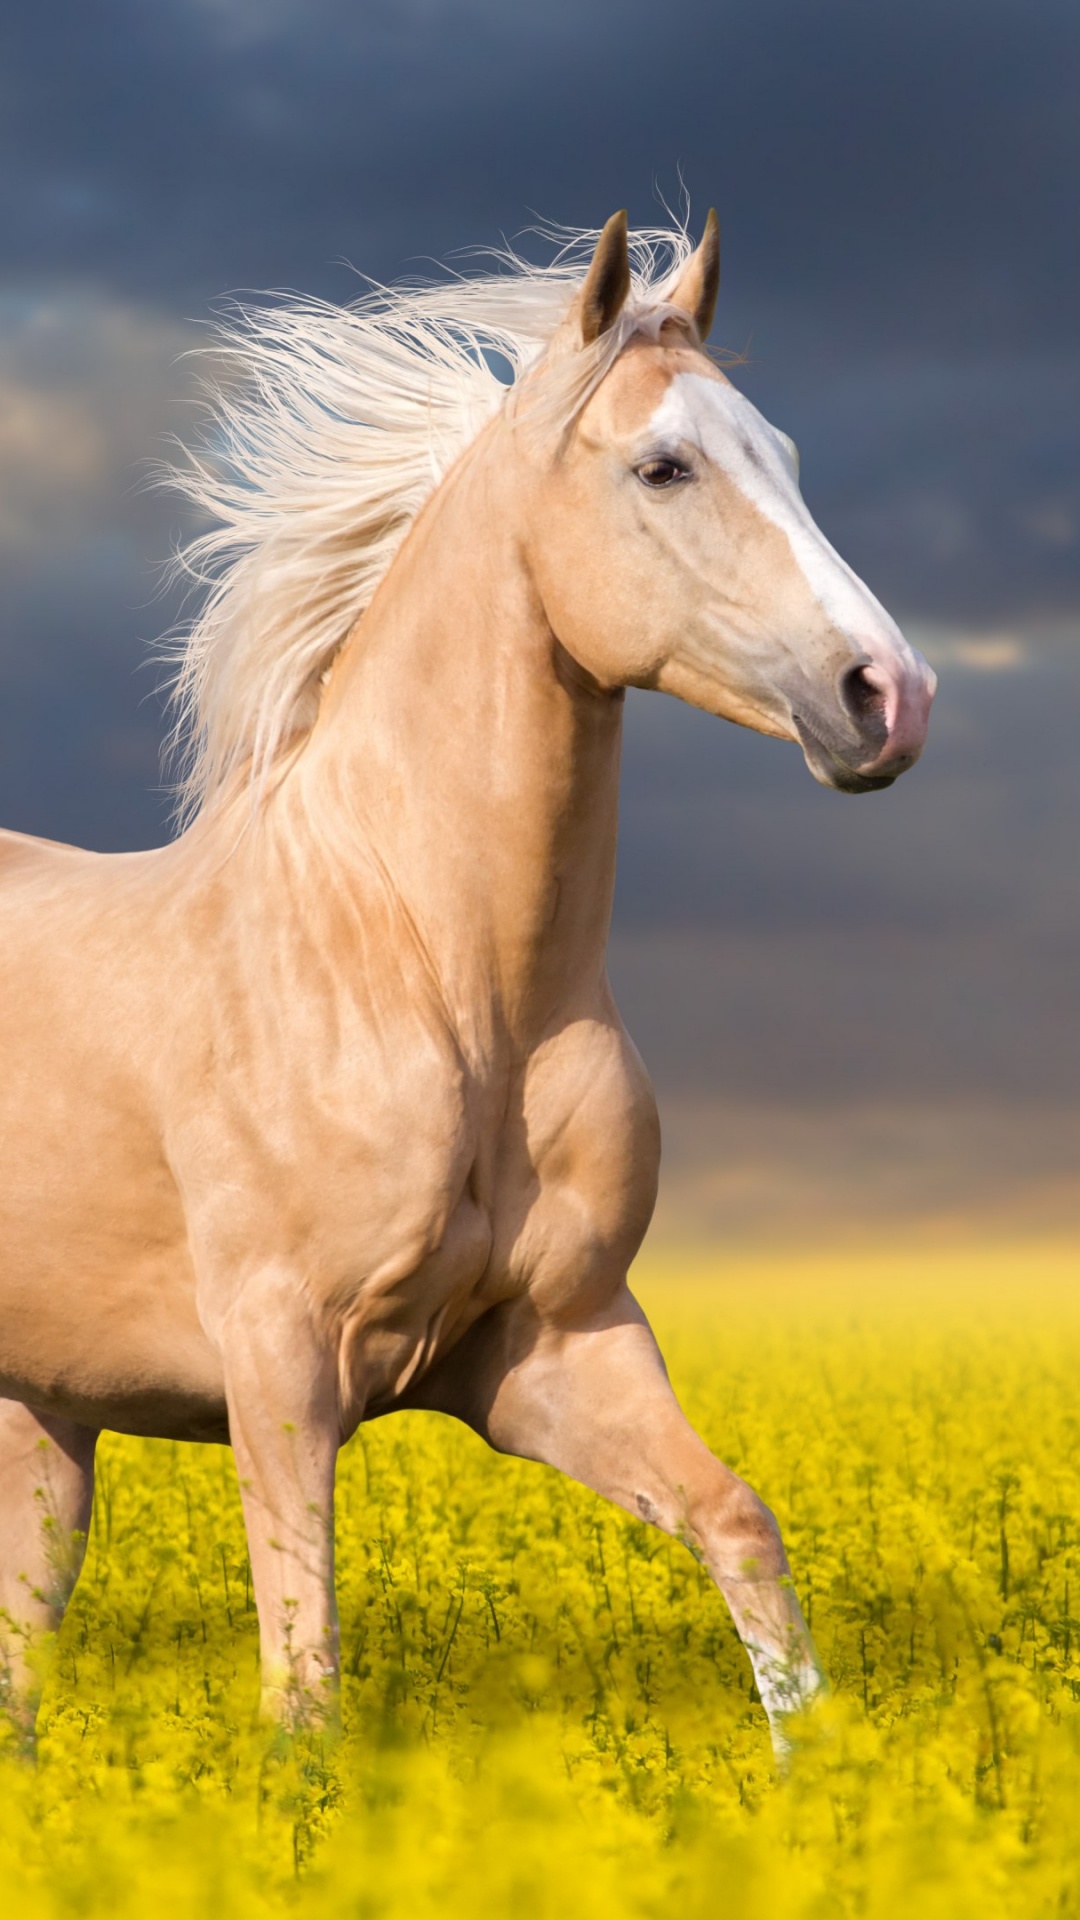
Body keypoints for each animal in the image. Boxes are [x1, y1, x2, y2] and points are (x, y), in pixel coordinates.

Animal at [0, 214, 930, 1758]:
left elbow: (741, 1530)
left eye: (786, 454)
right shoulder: (280, 1365)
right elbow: (302, 1680)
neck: (429, 976)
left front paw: (820, 1774)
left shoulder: (554, 1349)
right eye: (663, 466)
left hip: (45, 1407)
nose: (888, 698)